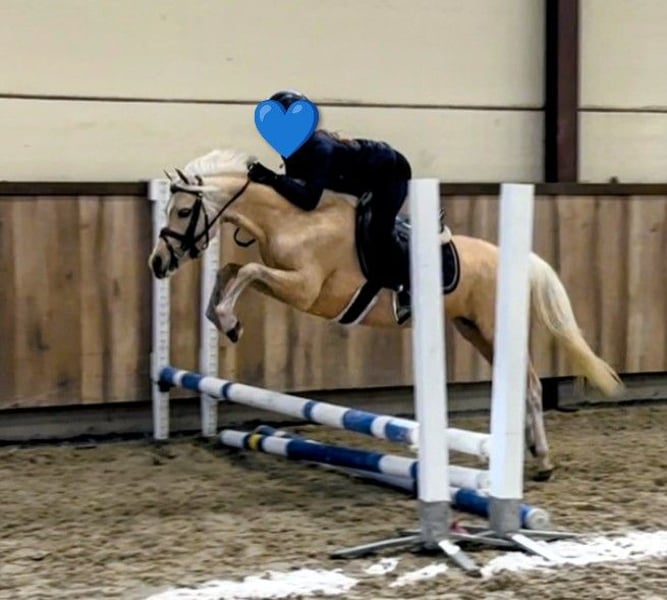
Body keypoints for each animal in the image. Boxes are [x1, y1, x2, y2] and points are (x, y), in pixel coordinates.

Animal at [148, 148, 624, 481]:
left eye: (185, 211)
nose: (157, 264)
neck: (292, 220)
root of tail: (519, 259)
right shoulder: (285, 281)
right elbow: (229, 271)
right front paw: (222, 319)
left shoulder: (304, 289)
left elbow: (245, 271)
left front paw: (230, 322)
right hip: (472, 329)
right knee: (524, 385)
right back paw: (533, 458)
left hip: (492, 328)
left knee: (530, 385)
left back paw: (541, 460)